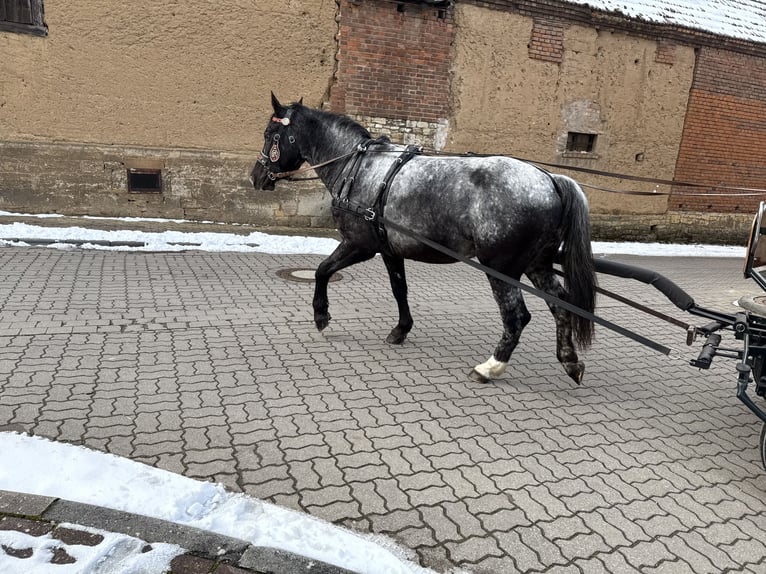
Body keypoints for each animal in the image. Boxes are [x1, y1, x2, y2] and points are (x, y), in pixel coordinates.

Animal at [252, 95, 600, 388]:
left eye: (271, 134)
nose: (256, 176)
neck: (360, 167)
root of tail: (550, 180)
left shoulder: (360, 245)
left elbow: (323, 270)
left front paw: (321, 315)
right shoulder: (390, 250)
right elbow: (399, 289)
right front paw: (401, 329)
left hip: (502, 268)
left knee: (517, 317)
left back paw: (490, 367)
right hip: (537, 264)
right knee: (561, 306)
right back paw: (570, 361)